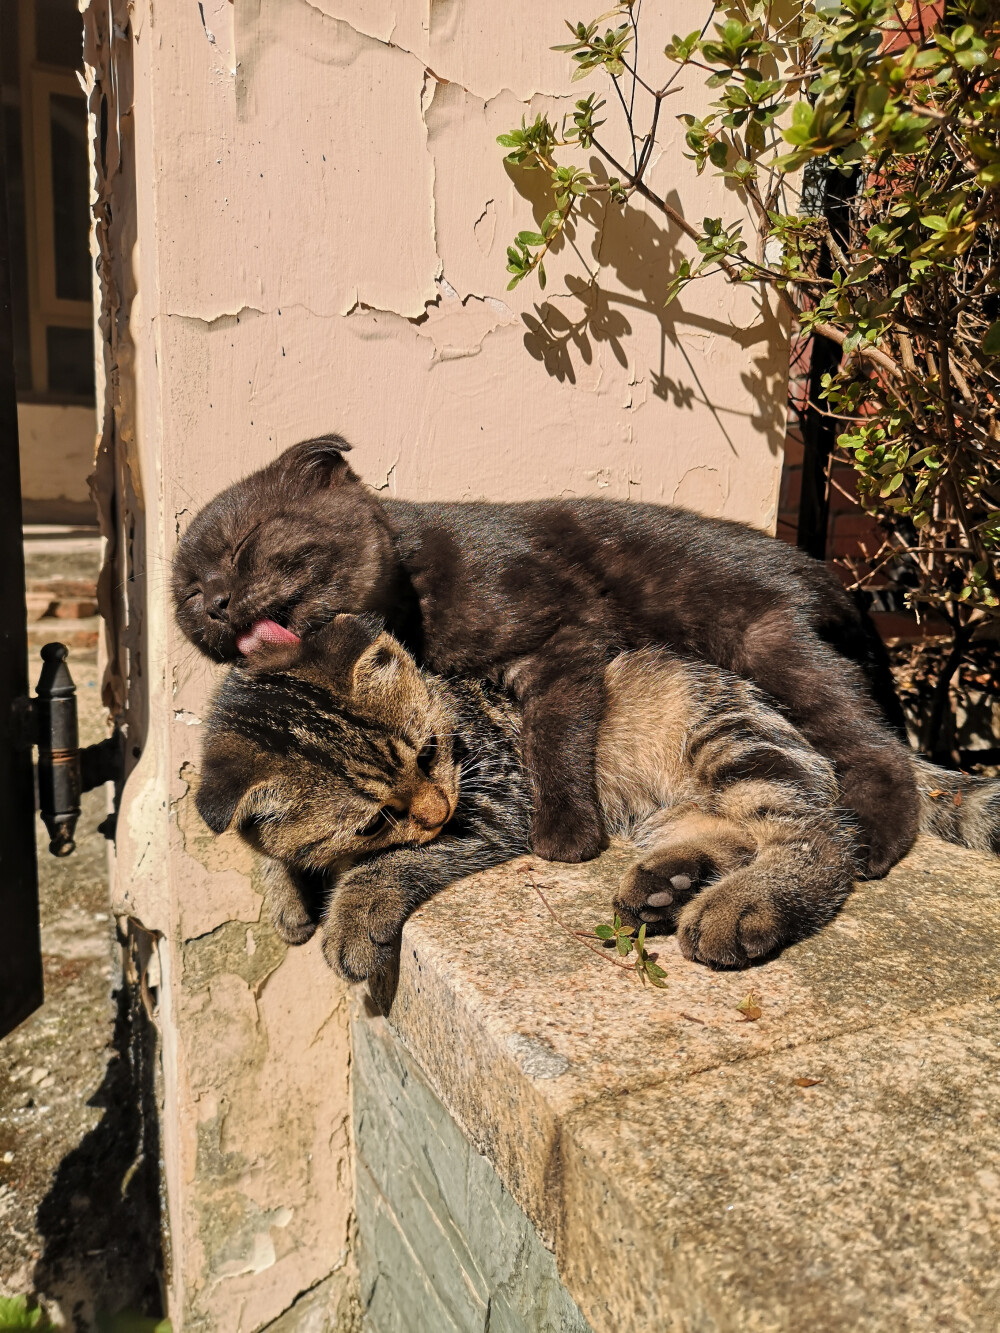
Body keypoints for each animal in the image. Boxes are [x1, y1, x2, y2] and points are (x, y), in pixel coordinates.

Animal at [197, 613, 1000, 981]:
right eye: (372, 818)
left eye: (428, 751)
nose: (435, 811)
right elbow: (259, 839)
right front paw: (285, 894)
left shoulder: (501, 801)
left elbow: (398, 864)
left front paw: (352, 914)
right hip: (684, 797)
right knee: (735, 830)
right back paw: (666, 885)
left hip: (731, 734)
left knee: (820, 834)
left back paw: (743, 906)